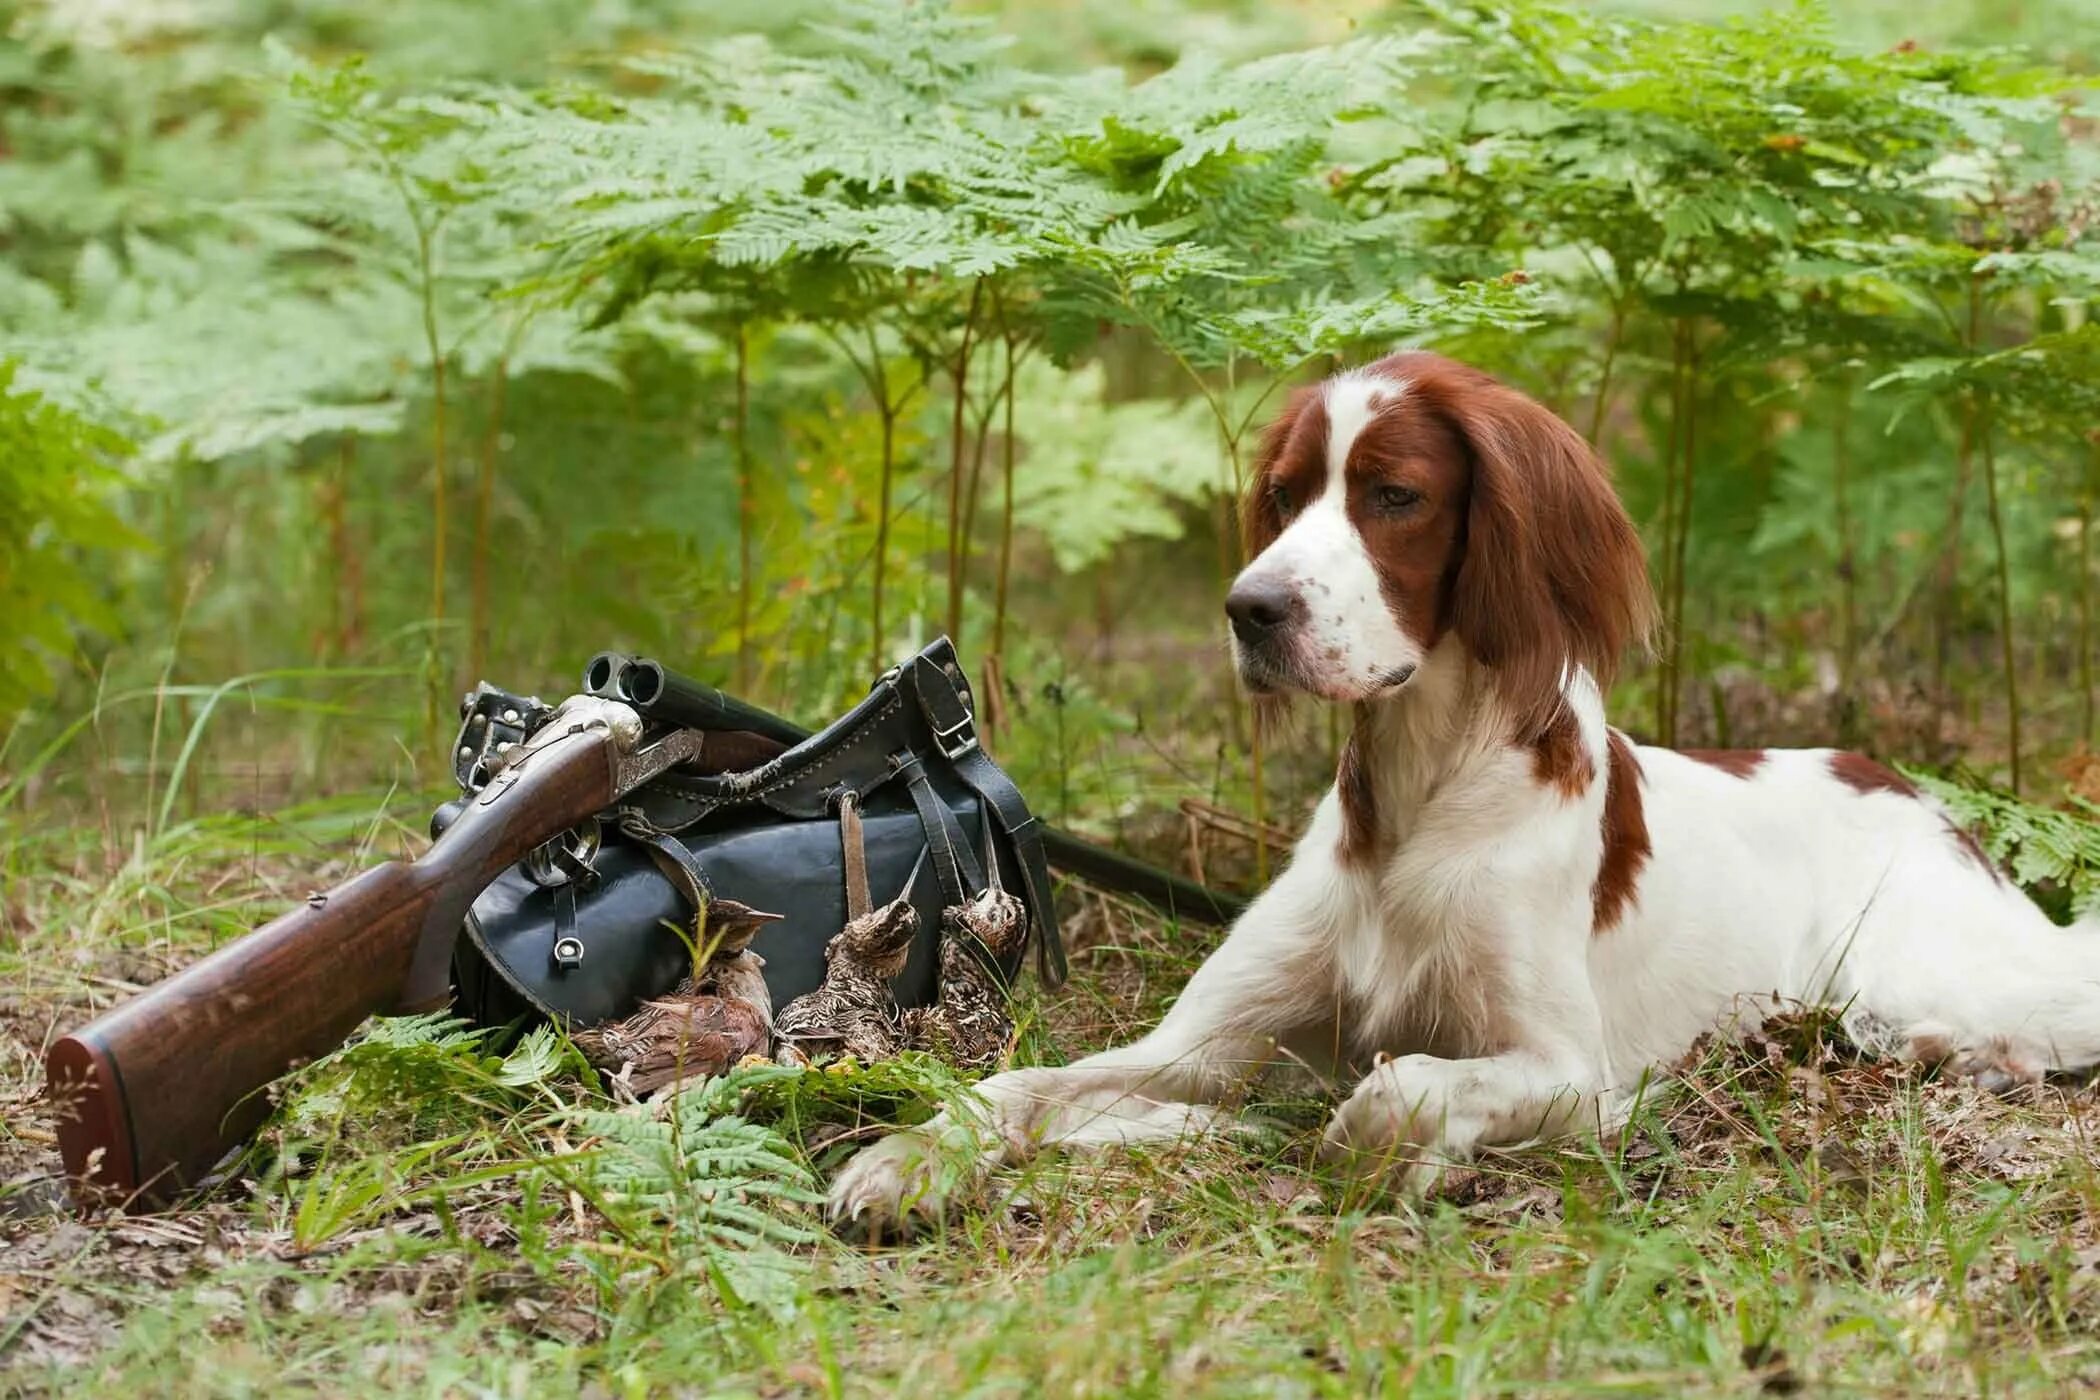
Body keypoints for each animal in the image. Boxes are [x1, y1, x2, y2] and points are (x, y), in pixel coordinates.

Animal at [818, 350, 2100, 1225]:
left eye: (1395, 495)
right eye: (1286, 493)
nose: (1249, 609)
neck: (1418, 801)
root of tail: (1898, 778)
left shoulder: (1576, 1070)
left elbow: (1405, 1086)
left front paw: (1389, 1150)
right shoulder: (1200, 1041)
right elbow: (1023, 1080)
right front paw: (903, 1158)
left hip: (1926, 957)